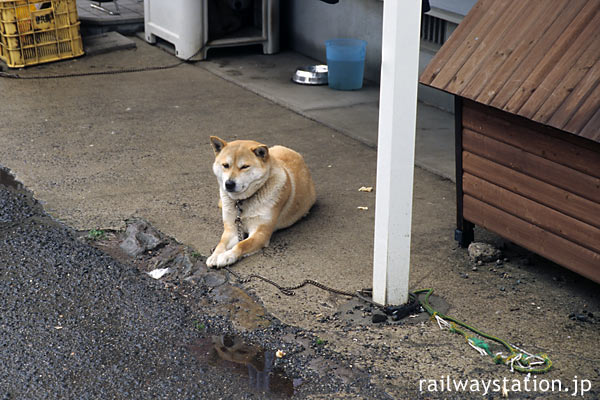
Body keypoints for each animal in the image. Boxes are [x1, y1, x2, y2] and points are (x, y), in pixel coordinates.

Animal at [206, 136, 316, 268]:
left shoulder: (261, 233)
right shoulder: (232, 229)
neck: (241, 202)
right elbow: (221, 243)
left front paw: (227, 256)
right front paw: (215, 255)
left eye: (245, 166)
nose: (229, 184)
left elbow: (241, 245)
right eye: (225, 165)